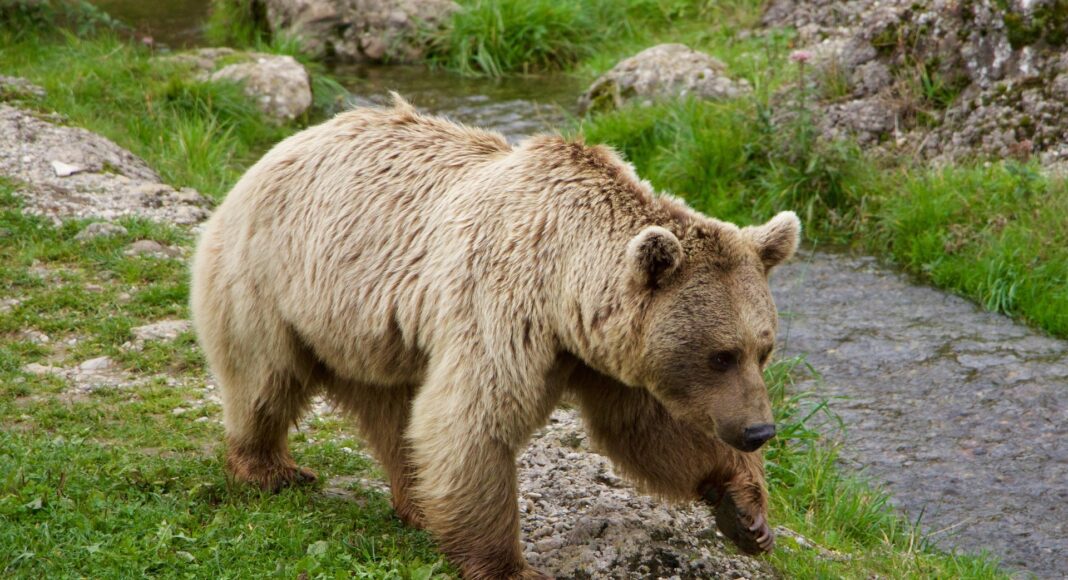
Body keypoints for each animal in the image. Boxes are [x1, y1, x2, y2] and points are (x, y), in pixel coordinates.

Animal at [190, 95, 800, 579]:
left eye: (763, 349)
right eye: (721, 355)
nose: (759, 430)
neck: (566, 287)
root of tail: (278, 149)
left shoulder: (602, 352)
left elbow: (646, 428)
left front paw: (746, 513)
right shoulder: (503, 305)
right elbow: (474, 420)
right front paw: (509, 565)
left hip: (373, 333)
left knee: (395, 415)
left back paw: (416, 502)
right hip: (275, 280)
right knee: (264, 377)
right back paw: (271, 469)